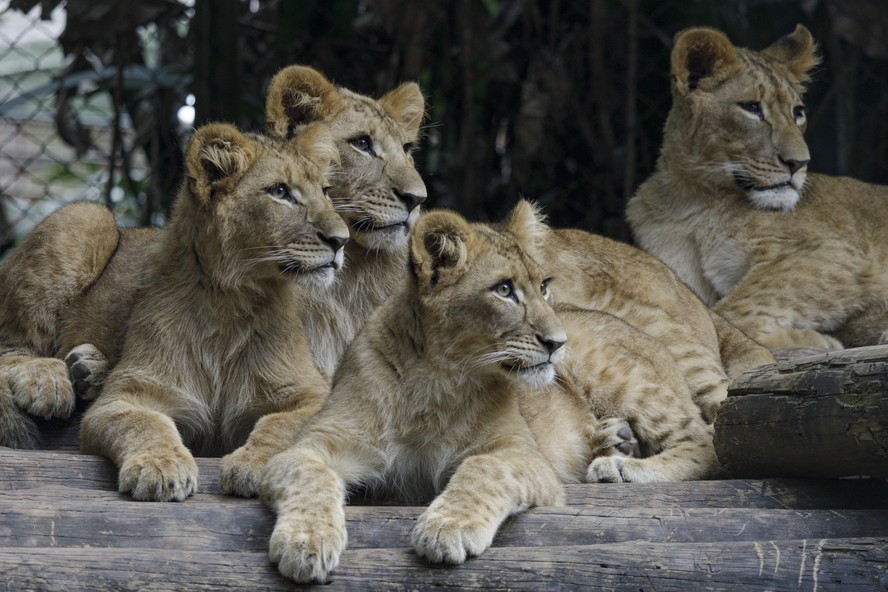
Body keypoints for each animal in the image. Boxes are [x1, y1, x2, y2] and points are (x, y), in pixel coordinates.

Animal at [75, 122, 349, 502]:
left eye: (325, 191)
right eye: (280, 191)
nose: (341, 240)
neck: (229, 299)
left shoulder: (313, 394)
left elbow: (281, 425)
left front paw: (256, 465)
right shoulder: (126, 396)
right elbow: (142, 422)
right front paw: (161, 466)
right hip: (86, 217)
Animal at [259, 202, 720, 583]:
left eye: (544, 286)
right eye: (504, 290)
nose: (558, 342)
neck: (437, 378)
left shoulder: (522, 455)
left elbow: (482, 469)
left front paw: (447, 528)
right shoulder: (314, 444)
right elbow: (308, 475)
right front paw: (305, 542)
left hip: (616, 371)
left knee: (705, 443)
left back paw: (619, 466)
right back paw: (615, 441)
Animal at [626, 24, 888, 350]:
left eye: (797, 112)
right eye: (752, 108)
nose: (799, 162)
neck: (691, 200)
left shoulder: (839, 253)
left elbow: (732, 308)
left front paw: (813, 340)